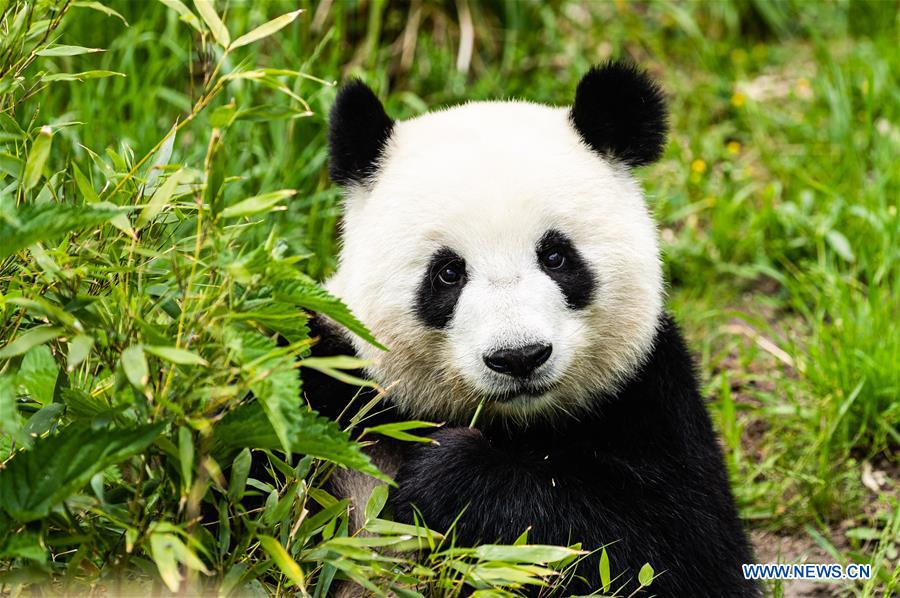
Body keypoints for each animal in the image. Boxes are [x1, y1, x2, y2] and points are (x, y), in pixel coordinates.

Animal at [304, 62, 760, 598]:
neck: (515, 424)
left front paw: (447, 473)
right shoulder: (336, 379)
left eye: (556, 256)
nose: (519, 357)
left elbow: (675, 549)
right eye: (448, 273)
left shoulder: (647, 394)